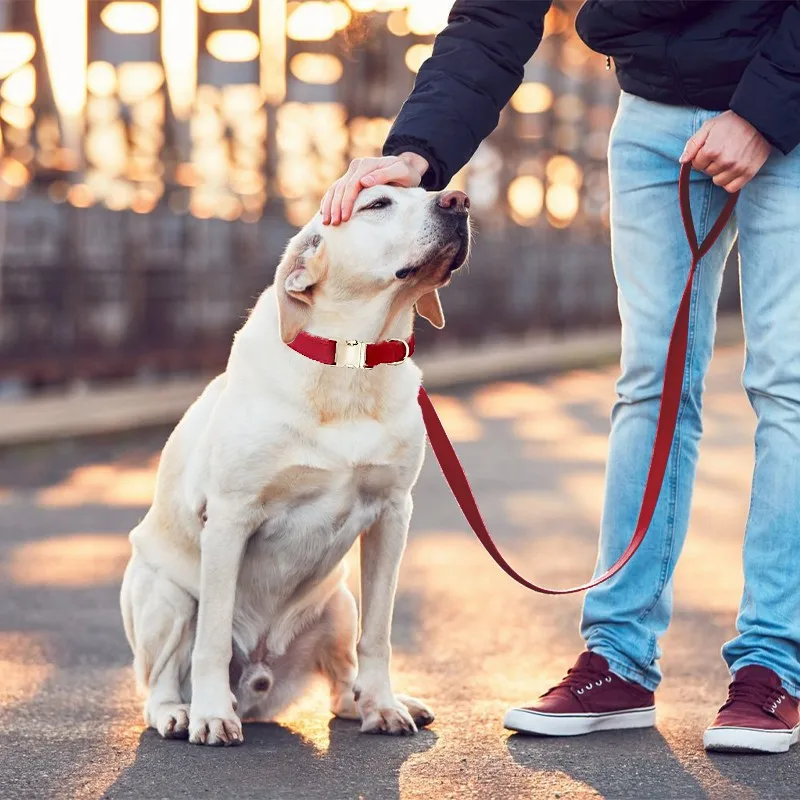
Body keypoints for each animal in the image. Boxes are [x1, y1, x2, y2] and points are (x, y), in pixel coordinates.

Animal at [119, 186, 468, 744]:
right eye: (377, 203)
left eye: (428, 190)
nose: (458, 200)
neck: (351, 361)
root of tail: (259, 689)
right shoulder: (229, 518)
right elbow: (212, 639)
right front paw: (211, 715)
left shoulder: (393, 515)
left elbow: (378, 635)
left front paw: (383, 705)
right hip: (164, 594)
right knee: (159, 678)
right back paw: (179, 712)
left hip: (339, 603)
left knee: (341, 680)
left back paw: (371, 702)